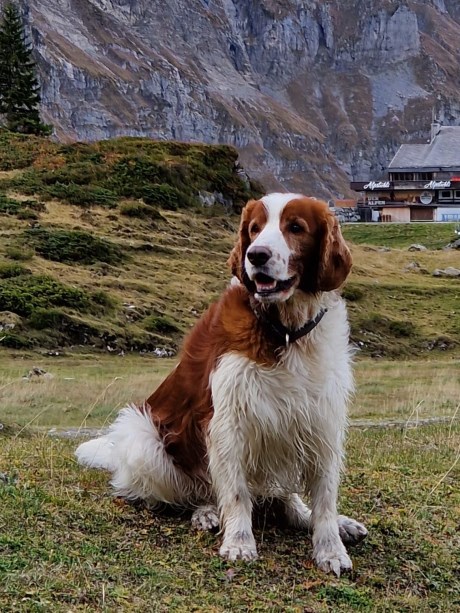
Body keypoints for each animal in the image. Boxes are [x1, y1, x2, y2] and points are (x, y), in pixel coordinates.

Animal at [77, 194, 368, 576]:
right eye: (254, 229)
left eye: (295, 228)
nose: (256, 255)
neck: (285, 331)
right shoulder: (229, 421)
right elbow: (236, 493)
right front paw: (239, 542)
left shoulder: (321, 422)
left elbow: (324, 499)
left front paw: (331, 548)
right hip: (143, 438)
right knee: (196, 493)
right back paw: (206, 513)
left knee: (283, 498)